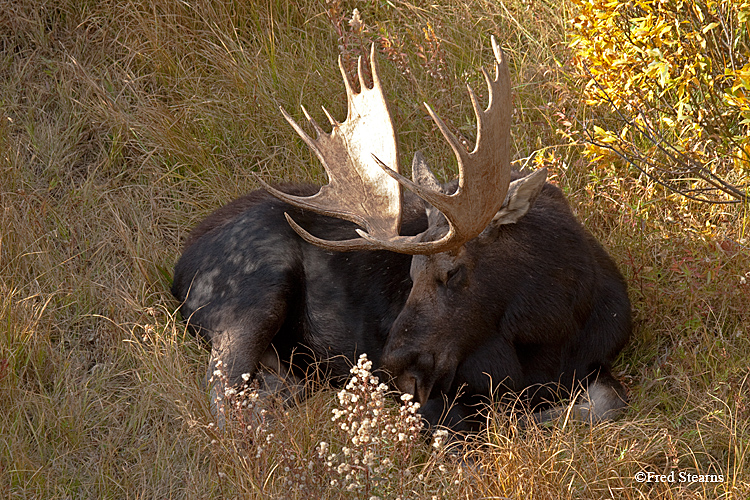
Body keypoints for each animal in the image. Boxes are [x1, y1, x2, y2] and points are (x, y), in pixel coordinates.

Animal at [172, 37, 632, 432]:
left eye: (453, 272)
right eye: (409, 274)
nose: (393, 365)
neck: (555, 327)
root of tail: (177, 272)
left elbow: (609, 402)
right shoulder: (448, 389)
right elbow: (476, 424)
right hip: (253, 296)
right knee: (223, 397)